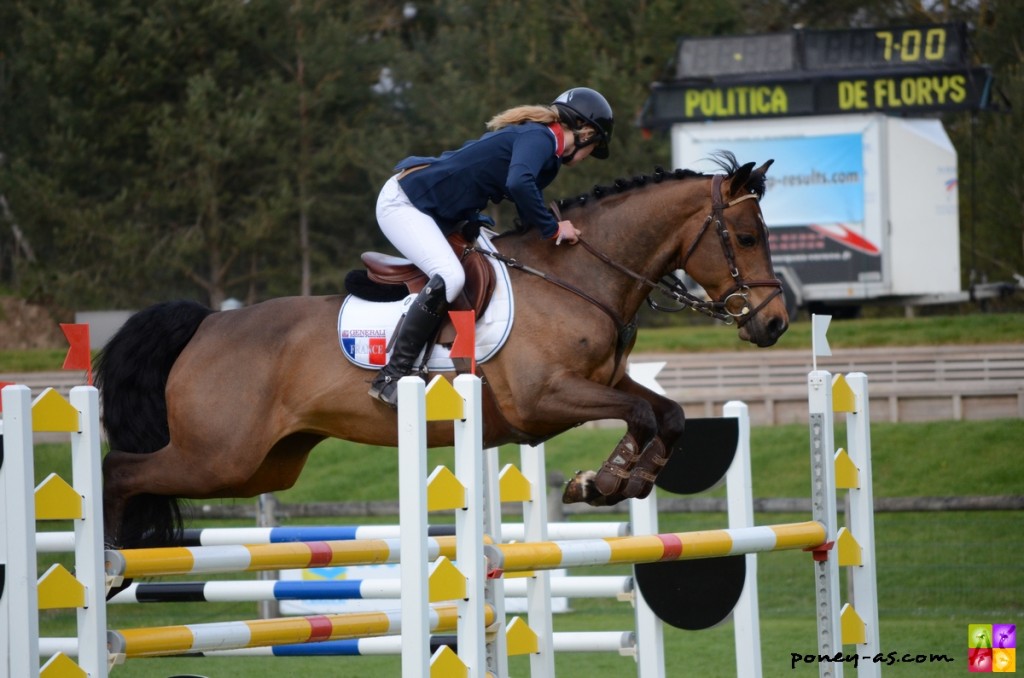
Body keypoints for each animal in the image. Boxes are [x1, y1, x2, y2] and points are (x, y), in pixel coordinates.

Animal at [96, 152, 786, 548]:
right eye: (749, 236)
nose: (776, 324)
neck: (578, 277)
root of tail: (208, 324)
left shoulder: (604, 382)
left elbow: (667, 413)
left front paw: (611, 480)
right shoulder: (544, 400)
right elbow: (642, 414)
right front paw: (611, 479)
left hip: (264, 465)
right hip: (219, 456)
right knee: (120, 470)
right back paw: (106, 567)